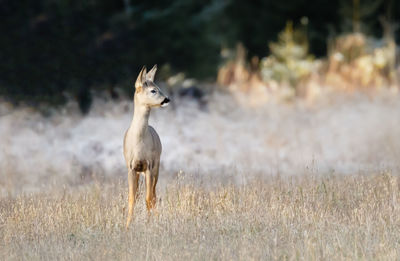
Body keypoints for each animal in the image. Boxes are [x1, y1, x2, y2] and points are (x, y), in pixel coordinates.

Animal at [124, 65, 170, 228]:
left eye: (158, 87)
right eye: (153, 90)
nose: (166, 99)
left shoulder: (149, 165)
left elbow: (149, 198)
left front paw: (150, 223)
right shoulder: (131, 167)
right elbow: (132, 198)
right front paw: (127, 226)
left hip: (156, 166)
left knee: (153, 195)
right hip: (141, 172)